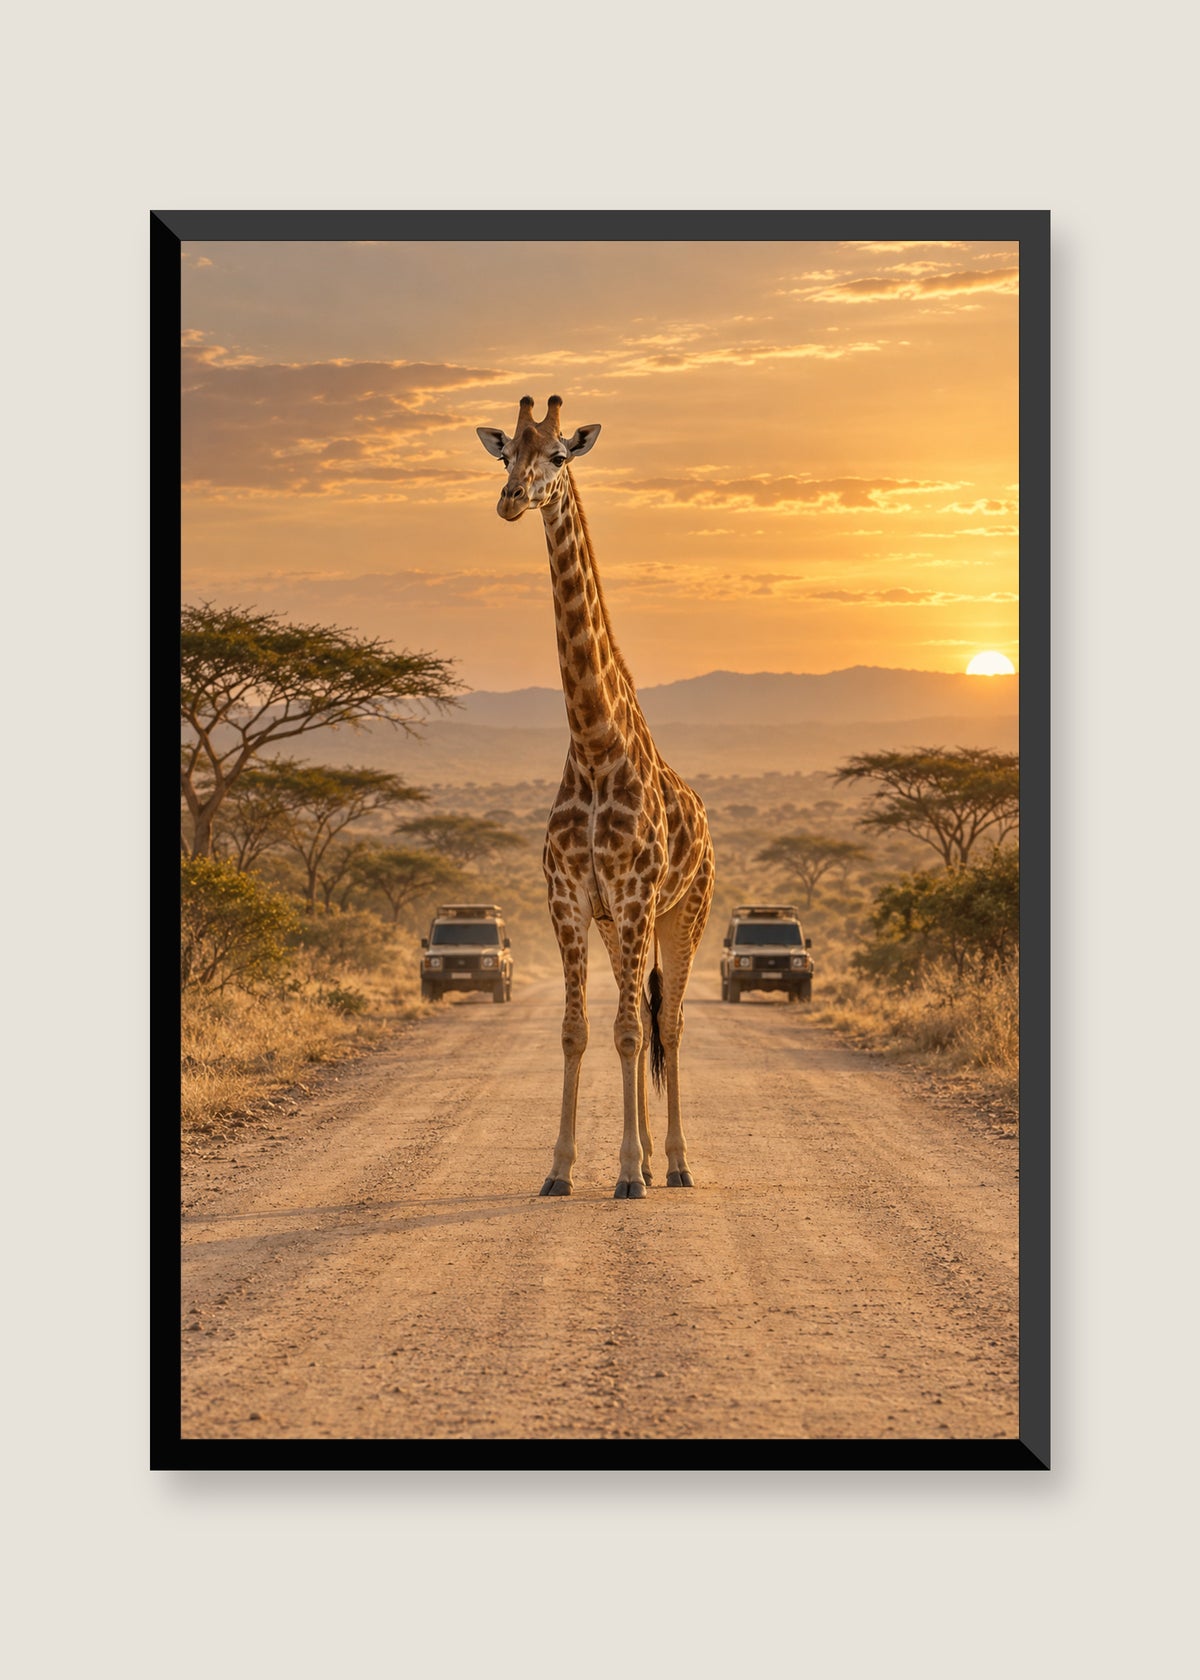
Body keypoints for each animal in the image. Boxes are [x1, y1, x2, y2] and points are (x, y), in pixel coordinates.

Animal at [477, 395, 715, 1200]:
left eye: (558, 456)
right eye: (505, 452)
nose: (511, 500)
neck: (592, 742)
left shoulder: (638, 896)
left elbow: (634, 1031)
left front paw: (630, 1173)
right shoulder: (572, 898)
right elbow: (579, 1030)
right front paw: (560, 1169)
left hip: (684, 912)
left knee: (666, 1024)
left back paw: (670, 1164)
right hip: (621, 926)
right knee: (634, 1017)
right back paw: (640, 1159)